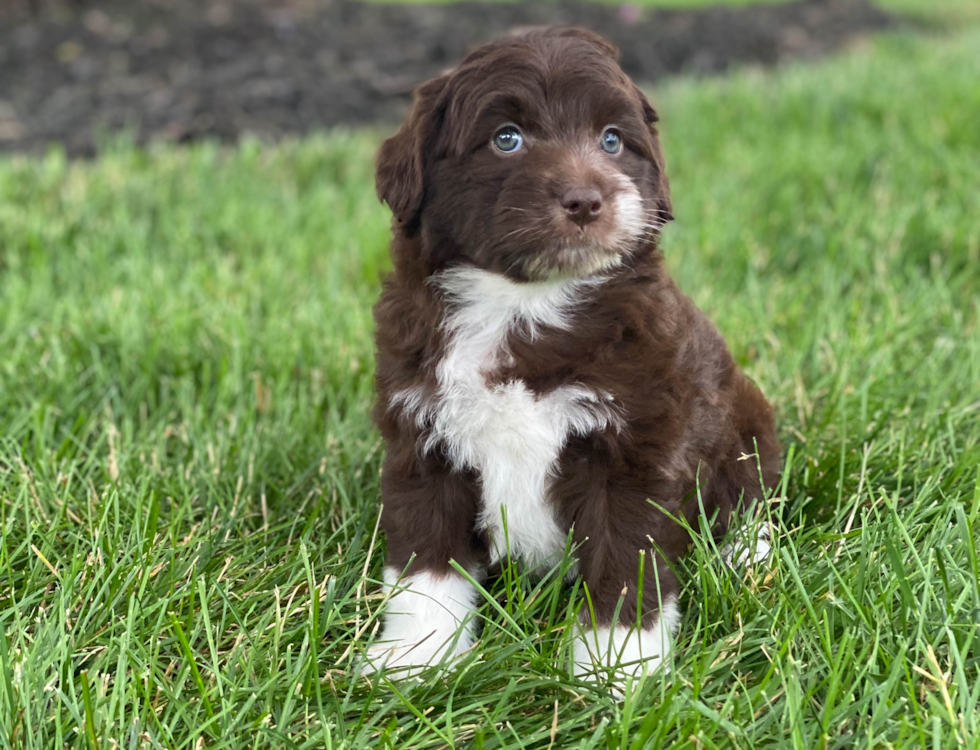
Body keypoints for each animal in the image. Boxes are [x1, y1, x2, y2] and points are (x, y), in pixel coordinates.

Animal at [364, 27, 776, 688]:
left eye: (612, 140)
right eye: (507, 138)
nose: (587, 201)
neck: (523, 304)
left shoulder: (635, 446)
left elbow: (625, 557)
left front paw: (618, 666)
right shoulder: (423, 436)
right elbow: (425, 562)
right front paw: (417, 657)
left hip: (746, 420)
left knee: (749, 497)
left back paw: (746, 560)